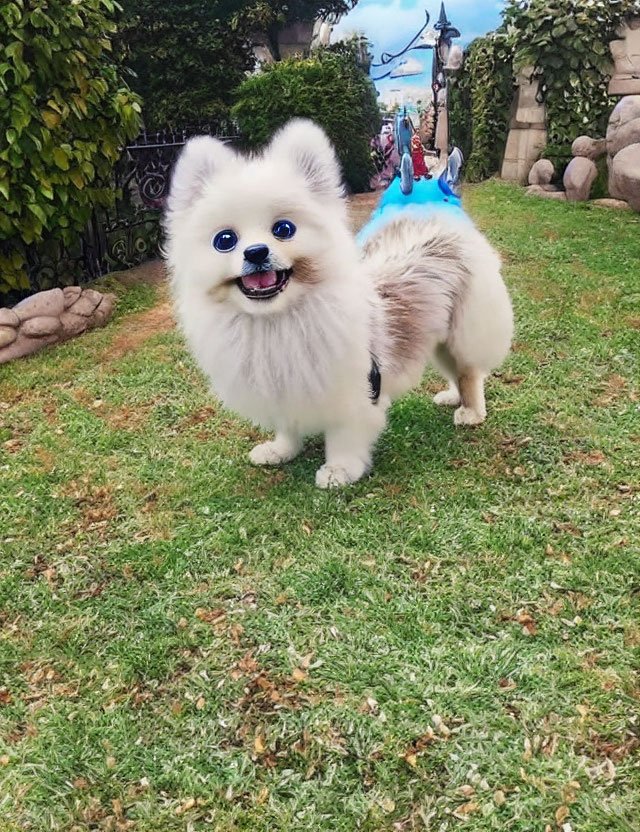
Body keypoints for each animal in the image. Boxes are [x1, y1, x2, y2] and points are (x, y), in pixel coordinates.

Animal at [166, 122, 516, 488]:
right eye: (225, 241)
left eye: (284, 229)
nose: (256, 252)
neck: (277, 319)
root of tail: (437, 218)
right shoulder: (285, 384)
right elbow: (287, 426)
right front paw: (282, 450)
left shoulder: (356, 388)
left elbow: (344, 435)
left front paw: (340, 469)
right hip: (436, 336)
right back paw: (452, 396)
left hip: (463, 330)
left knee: (469, 372)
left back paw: (471, 411)